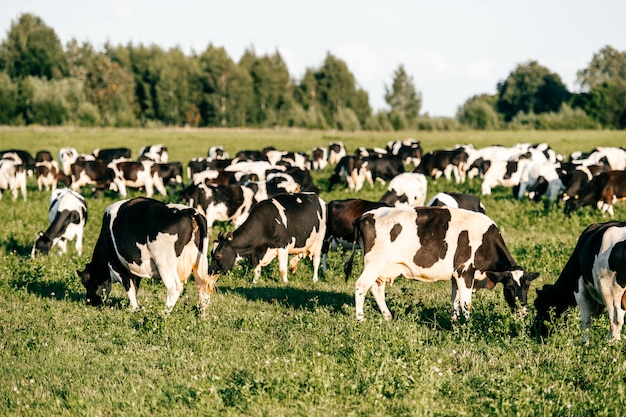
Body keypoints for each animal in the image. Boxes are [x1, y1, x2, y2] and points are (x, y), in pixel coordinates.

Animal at [76, 197, 214, 314]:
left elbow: (129, 287)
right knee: (203, 286)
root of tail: (190, 211)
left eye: (86, 282)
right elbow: (135, 287)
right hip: (200, 263)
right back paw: (203, 315)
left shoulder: (118, 265)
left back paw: (164, 313)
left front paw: (133, 309)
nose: (89, 301)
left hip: (164, 262)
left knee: (174, 288)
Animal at [344, 206, 540, 320]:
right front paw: (468, 326)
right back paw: (360, 319)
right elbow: (466, 302)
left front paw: (454, 322)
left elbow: (455, 299)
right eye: (509, 287)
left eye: (527, 286)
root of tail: (366, 215)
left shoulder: (456, 275)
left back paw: (387, 316)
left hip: (382, 268)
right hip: (374, 263)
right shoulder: (465, 271)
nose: (523, 311)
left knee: (376, 289)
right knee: (361, 286)